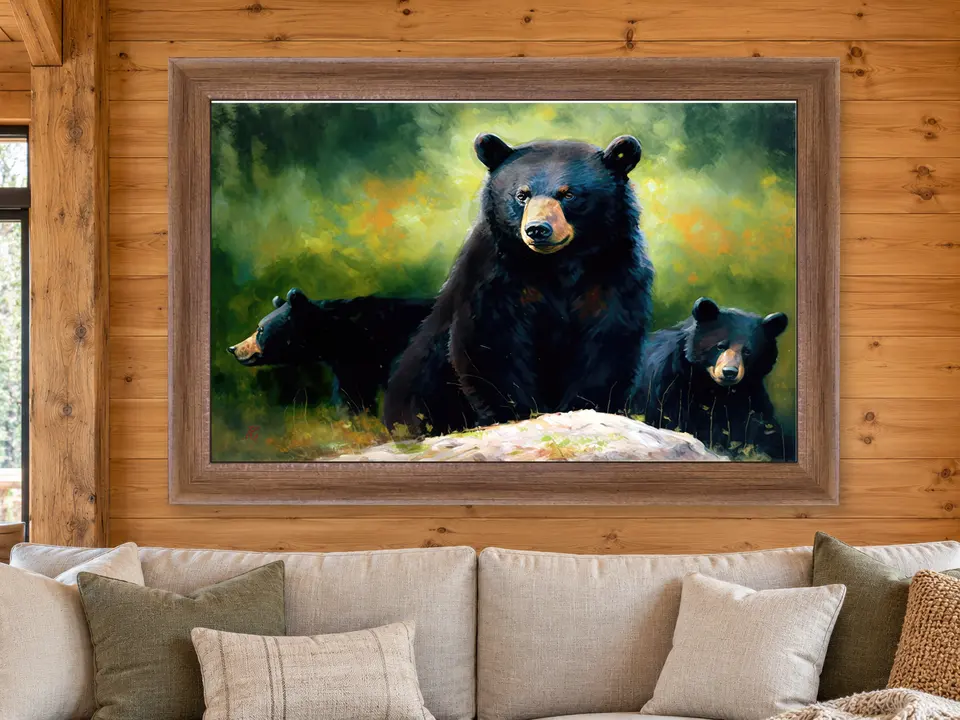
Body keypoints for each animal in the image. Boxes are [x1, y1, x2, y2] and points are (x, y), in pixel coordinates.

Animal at [383, 133, 654, 435]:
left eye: (568, 194)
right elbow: (492, 338)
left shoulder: (614, 272)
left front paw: (585, 406)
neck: (557, 263)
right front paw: (517, 412)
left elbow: (608, 338)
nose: (538, 229)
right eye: (522, 194)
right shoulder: (494, 273)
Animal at [632, 296, 792, 460]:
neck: (713, 386)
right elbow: (670, 416)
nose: (729, 372)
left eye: (747, 351)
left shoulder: (749, 393)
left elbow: (760, 426)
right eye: (720, 346)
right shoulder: (668, 382)